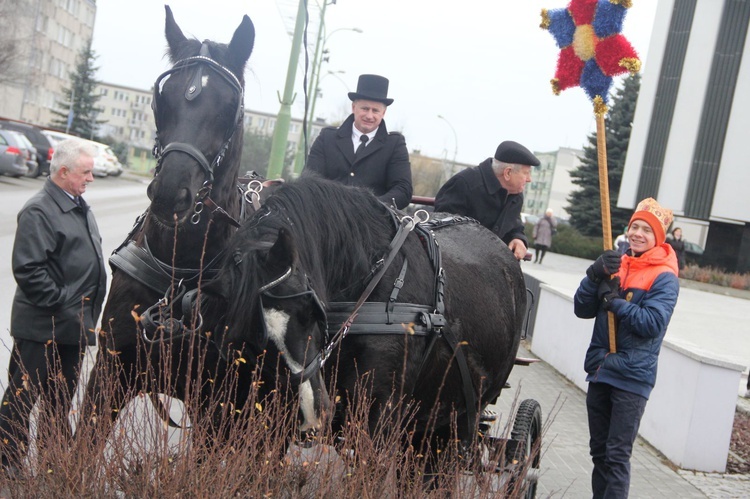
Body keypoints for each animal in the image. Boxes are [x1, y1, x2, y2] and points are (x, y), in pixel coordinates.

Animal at [78, 3, 258, 450]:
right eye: (164, 97)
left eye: (229, 105)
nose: (169, 193)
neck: (179, 272)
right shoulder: (109, 375)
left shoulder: (215, 407)